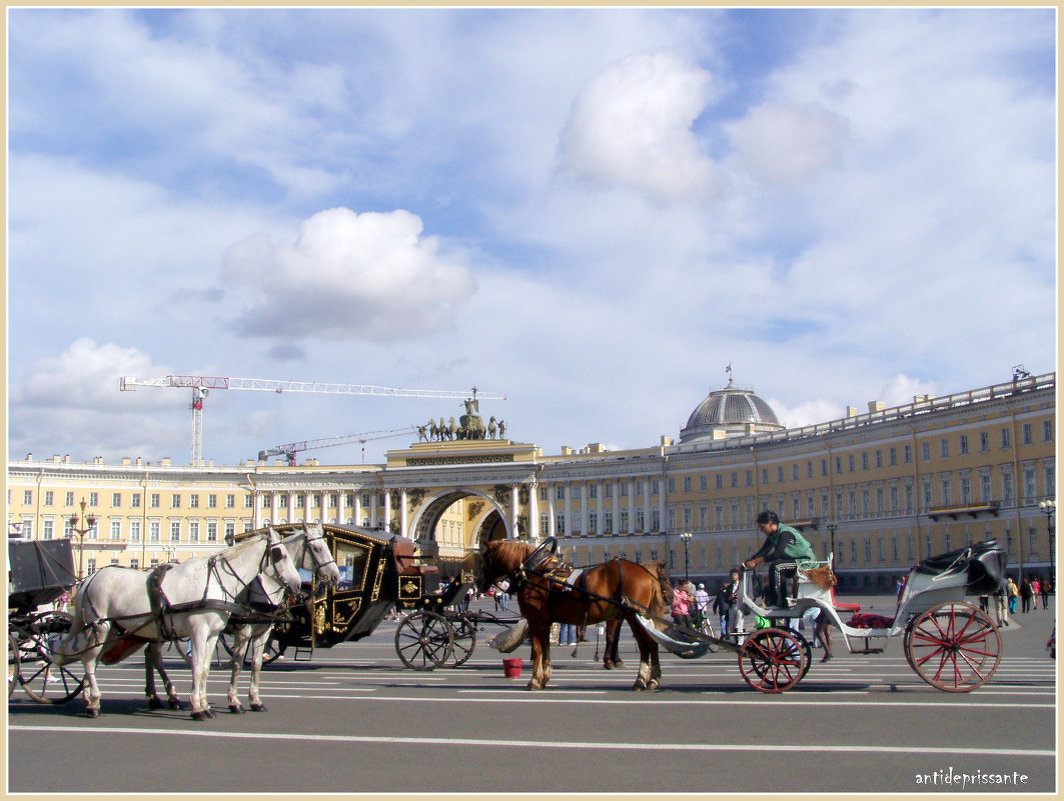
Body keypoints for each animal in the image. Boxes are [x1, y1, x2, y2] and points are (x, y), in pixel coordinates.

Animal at [56, 525, 302, 719]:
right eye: (279, 553)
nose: (297, 584)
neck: (216, 581)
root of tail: (88, 579)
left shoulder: (213, 634)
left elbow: (205, 668)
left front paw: (205, 705)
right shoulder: (201, 631)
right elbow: (200, 667)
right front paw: (200, 708)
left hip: (117, 630)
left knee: (100, 659)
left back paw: (95, 698)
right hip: (100, 626)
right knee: (89, 660)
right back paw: (95, 703)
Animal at [141, 525, 340, 710]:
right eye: (318, 548)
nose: (335, 576)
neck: (265, 584)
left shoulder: (264, 630)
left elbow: (256, 664)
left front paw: (255, 700)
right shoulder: (244, 630)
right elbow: (237, 662)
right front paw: (234, 701)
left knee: (150, 653)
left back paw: (157, 696)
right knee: (155, 655)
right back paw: (168, 696)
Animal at [478, 540, 668, 689]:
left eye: (484, 558)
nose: (478, 583)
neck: (534, 572)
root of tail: (644, 571)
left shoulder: (536, 619)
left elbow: (538, 648)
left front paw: (534, 681)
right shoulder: (545, 621)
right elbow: (546, 648)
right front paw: (544, 678)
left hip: (633, 614)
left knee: (645, 643)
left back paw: (640, 680)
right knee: (652, 642)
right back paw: (652, 680)